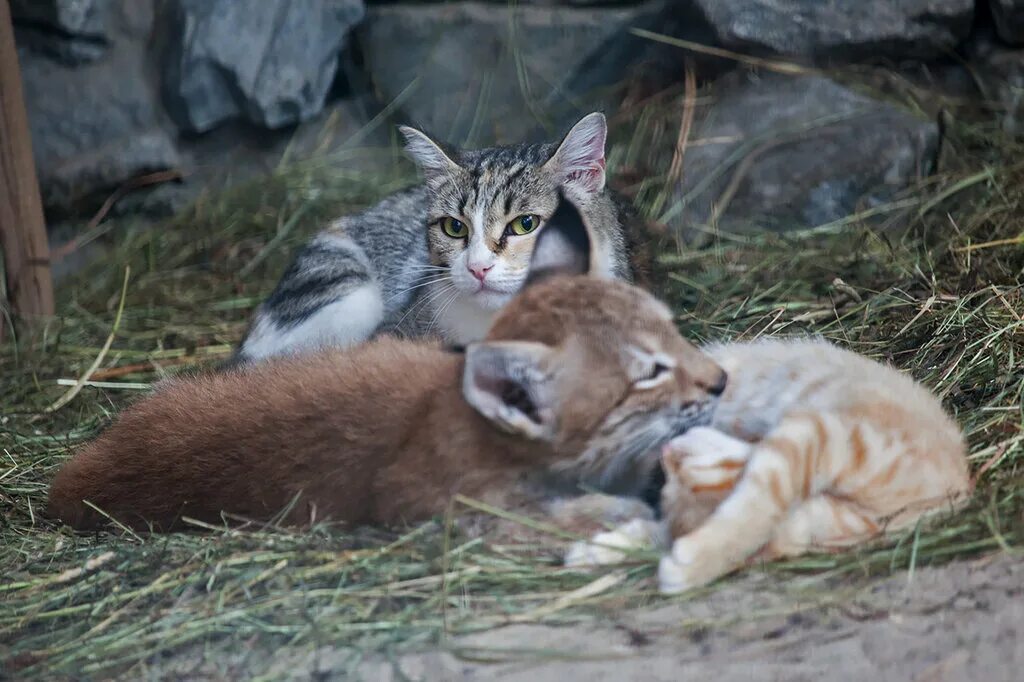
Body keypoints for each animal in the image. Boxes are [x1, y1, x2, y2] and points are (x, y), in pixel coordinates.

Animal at [569, 337, 974, 593]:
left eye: (682, 474)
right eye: (671, 477)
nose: (668, 454)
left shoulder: (824, 436)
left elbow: (761, 499)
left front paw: (698, 559)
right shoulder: (824, 434)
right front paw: (598, 550)